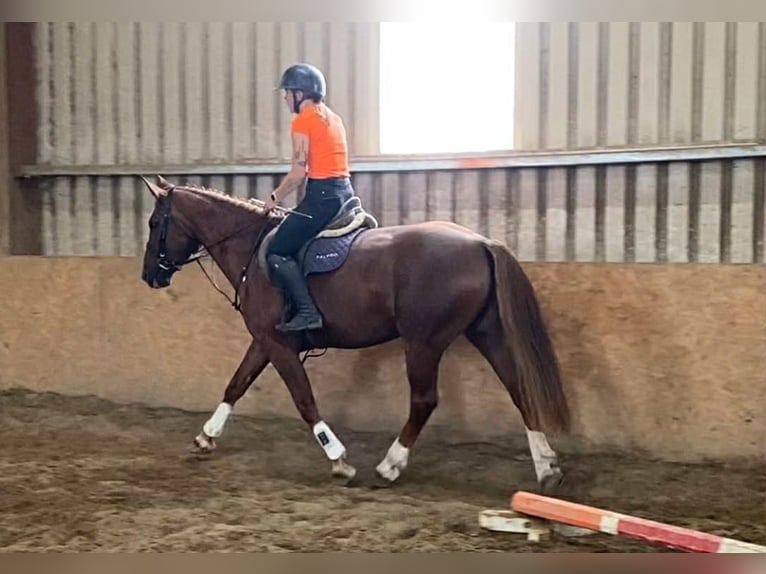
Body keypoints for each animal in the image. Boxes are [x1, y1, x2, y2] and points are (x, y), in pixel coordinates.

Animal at [138, 174, 571, 492]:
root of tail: (481, 242)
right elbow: (236, 384)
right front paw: (205, 437)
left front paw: (339, 460)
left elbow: (304, 399)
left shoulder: (278, 345)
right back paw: (546, 466)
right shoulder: (264, 341)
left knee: (424, 401)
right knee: (517, 387)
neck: (252, 250)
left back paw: (390, 465)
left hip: (424, 342)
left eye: (156, 223)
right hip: (486, 333)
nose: (149, 276)